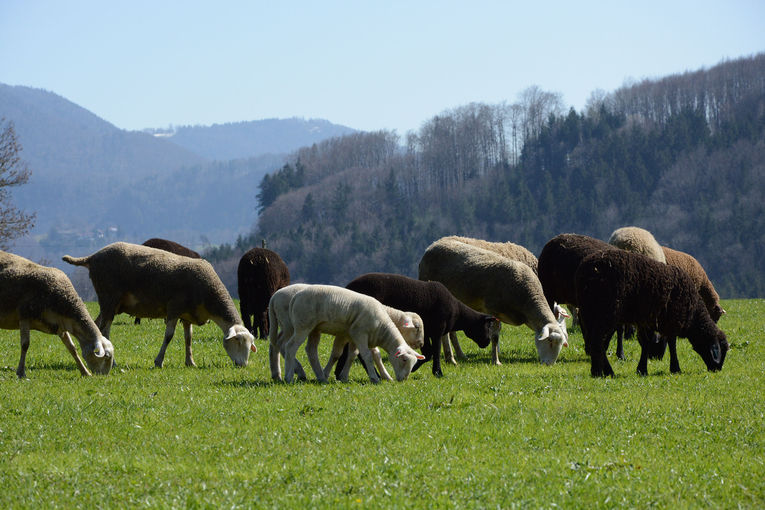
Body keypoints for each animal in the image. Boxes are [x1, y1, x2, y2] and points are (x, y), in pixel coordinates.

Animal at [62, 242, 254, 366]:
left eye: (250, 344)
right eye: (237, 341)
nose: (243, 365)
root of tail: (93, 257)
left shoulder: (187, 314)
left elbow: (188, 338)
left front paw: (190, 362)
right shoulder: (174, 307)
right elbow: (169, 336)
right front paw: (158, 361)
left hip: (109, 303)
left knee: (96, 325)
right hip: (109, 298)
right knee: (104, 330)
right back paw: (113, 362)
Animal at [280, 282, 424, 382]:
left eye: (414, 363)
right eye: (404, 359)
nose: (404, 379)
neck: (382, 325)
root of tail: (296, 296)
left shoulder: (353, 335)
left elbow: (352, 355)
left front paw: (344, 377)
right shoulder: (360, 333)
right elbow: (367, 356)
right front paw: (375, 378)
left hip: (314, 328)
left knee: (310, 350)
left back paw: (320, 377)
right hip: (302, 326)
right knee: (290, 346)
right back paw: (288, 377)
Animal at [342, 272, 498, 376]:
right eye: (488, 326)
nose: (487, 342)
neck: (457, 313)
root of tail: (348, 286)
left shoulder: (426, 332)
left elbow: (428, 353)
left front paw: (414, 367)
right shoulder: (437, 330)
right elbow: (434, 352)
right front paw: (437, 372)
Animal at [418, 239, 568, 366]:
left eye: (561, 344)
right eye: (549, 341)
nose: (549, 364)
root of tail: (432, 246)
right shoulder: (494, 310)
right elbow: (495, 336)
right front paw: (496, 361)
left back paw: (456, 356)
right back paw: (450, 358)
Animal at [572, 249, 728, 376]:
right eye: (721, 350)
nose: (717, 369)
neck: (694, 313)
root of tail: (586, 271)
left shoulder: (647, 320)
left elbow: (646, 343)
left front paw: (642, 369)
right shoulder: (671, 320)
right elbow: (671, 344)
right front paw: (675, 368)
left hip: (589, 312)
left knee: (596, 341)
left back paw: (597, 371)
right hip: (605, 311)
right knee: (598, 341)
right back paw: (605, 372)